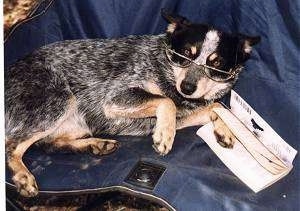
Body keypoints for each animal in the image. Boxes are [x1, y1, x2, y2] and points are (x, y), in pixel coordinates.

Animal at [4, 9, 260, 198]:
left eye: (216, 65)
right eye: (185, 55)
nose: (187, 87)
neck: (165, 69)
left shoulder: (184, 114)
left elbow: (218, 107)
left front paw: (227, 130)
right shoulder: (115, 97)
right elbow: (167, 101)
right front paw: (164, 136)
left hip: (74, 123)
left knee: (51, 144)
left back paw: (96, 145)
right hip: (59, 100)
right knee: (11, 144)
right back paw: (23, 176)